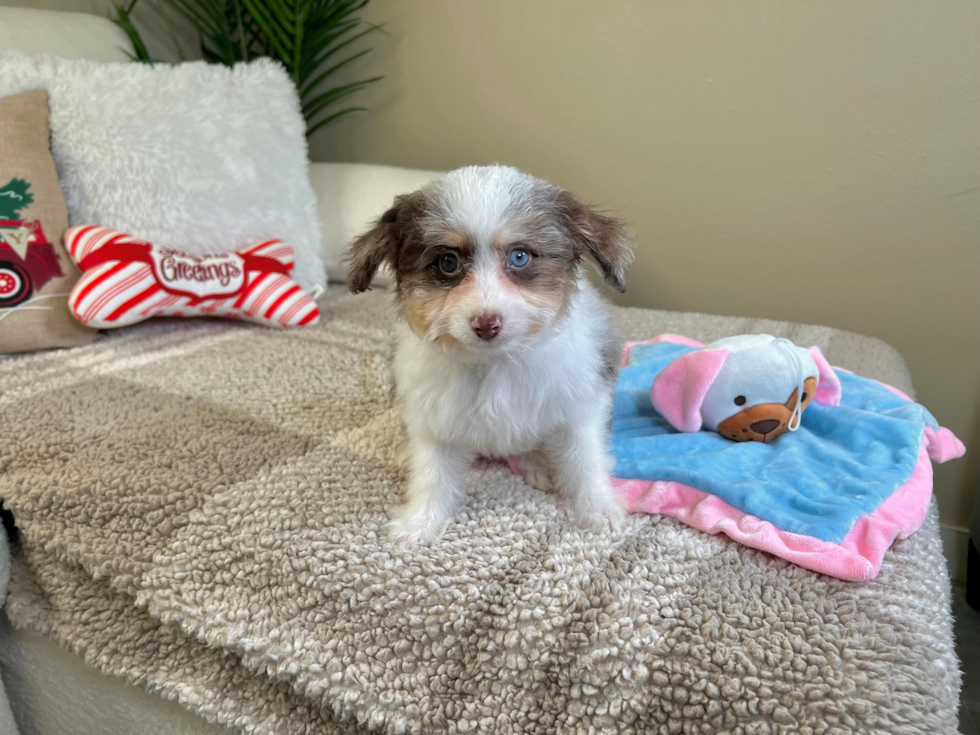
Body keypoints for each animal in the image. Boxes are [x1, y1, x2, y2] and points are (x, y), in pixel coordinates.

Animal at [344, 167, 636, 548]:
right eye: (448, 262)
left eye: (520, 257)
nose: (486, 324)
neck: (496, 364)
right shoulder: (434, 415)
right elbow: (432, 474)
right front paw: (421, 522)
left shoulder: (579, 407)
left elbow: (584, 461)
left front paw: (598, 509)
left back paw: (536, 463)